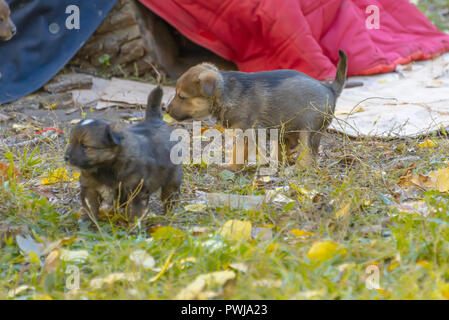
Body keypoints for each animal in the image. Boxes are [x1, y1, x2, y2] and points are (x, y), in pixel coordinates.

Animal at [64, 87, 182, 222]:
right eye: (71, 142)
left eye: (85, 146)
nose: (66, 158)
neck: (106, 167)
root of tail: (155, 120)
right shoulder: (90, 189)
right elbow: (90, 209)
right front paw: (87, 223)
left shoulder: (136, 191)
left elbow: (135, 212)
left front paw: (133, 226)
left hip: (173, 178)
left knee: (170, 197)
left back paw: (169, 215)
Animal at [168, 51, 346, 166]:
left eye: (181, 96)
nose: (167, 110)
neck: (225, 92)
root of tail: (330, 88)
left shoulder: (246, 133)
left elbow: (238, 154)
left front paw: (230, 167)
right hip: (283, 131)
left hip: (308, 132)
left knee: (308, 157)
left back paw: (297, 169)